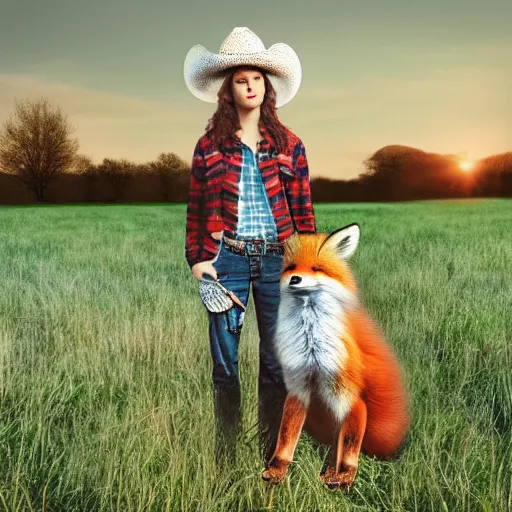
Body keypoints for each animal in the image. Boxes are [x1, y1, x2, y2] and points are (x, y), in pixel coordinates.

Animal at [262, 223, 410, 488]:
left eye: (316, 268)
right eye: (291, 267)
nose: (295, 279)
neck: (313, 349)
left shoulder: (350, 397)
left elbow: (349, 447)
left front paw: (344, 477)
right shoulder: (298, 387)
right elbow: (286, 437)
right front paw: (278, 470)